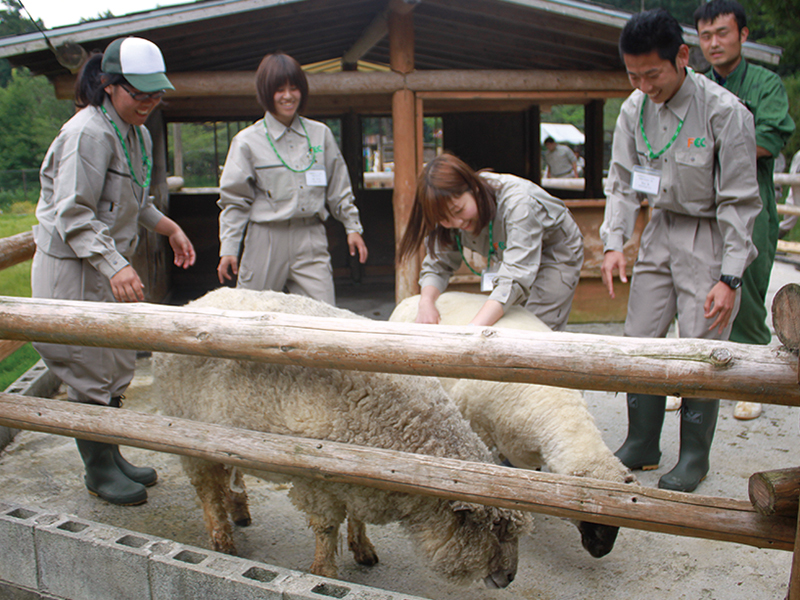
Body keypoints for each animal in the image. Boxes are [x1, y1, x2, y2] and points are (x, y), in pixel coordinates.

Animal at [154, 288, 532, 588]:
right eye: (495, 530)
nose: (510, 577)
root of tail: (197, 300)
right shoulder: (317, 481)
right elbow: (326, 529)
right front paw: (325, 573)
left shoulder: (357, 476)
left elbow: (357, 517)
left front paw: (363, 549)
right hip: (187, 432)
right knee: (207, 490)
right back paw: (222, 539)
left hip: (225, 435)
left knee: (230, 473)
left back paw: (240, 512)